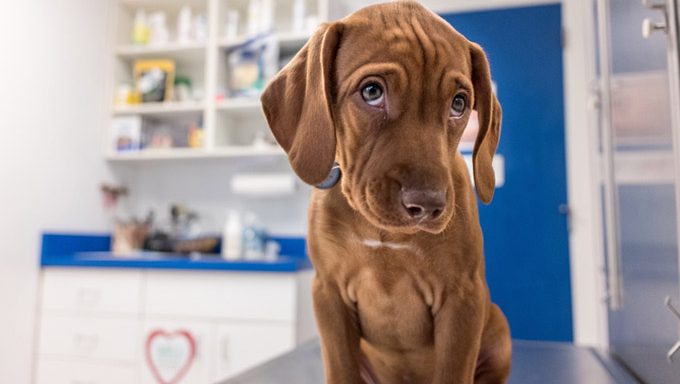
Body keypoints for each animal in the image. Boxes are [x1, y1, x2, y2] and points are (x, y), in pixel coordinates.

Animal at [260, 1, 510, 382]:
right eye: (371, 92)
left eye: (459, 103)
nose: (428, 205)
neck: (382, 232)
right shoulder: (328, 294)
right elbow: (341, 369)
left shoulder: (463, 298)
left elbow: (453, 370)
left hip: (498, 328)